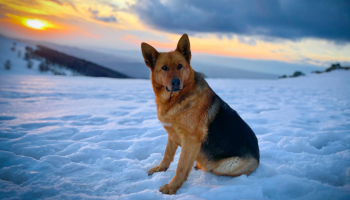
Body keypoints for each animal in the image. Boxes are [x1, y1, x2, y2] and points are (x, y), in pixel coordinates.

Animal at [141, 34, 258, 194]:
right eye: (164, 68)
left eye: (180, 66)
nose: (176, 82)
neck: (177, 99)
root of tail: (258, 158)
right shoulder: (172, 134)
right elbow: (167, 155)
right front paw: (160, 169)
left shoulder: (190, 140)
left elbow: (181, 166)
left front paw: (172, 188)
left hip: (227, 166)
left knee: (214, 170)